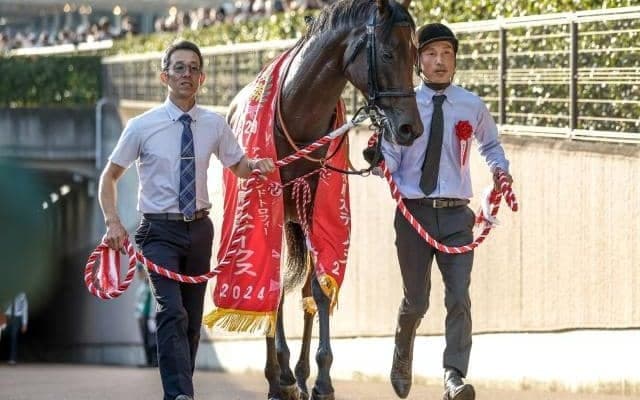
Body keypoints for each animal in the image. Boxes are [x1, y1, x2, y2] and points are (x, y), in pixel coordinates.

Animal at [227, 0, 423, 398]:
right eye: (387, 52)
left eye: (415, 55)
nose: (410, 128)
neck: (297, 112)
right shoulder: (273, 203)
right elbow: (272, 288)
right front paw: (278, 376)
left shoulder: (317, 205)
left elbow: (317, 289)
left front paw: (321, 379)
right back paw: (281, 373)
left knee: (302, 290)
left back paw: (299, 373)